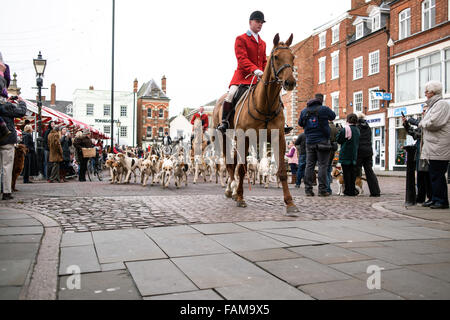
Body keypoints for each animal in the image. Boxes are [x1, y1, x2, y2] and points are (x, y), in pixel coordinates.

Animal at [214, 33, 298, 216]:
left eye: (293, 57)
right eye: (276, 57)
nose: (290, 82)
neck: (265, 104)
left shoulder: (279, 138)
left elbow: (282, 171)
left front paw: (290, 202)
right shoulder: (244, 138)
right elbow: (241, 169)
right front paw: (240, 198)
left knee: (235, 163)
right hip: (225, 138)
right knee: (231, 164)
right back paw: (231, 190)